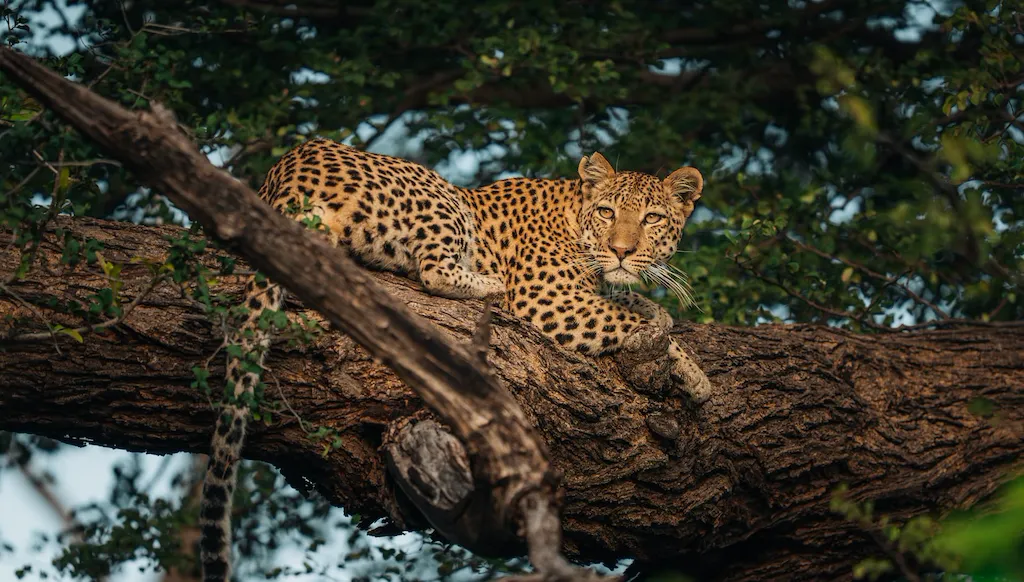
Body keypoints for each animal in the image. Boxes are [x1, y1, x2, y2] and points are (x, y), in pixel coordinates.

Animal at [199, 137, 711, 582]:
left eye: (651, 219)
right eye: (607, 212)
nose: (622, 251)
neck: (574, 216)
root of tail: (286, 172)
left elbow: (637, 306)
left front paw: (657, 310)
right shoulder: (550, 301)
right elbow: (635, 323)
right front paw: (697, 377)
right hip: (440, 197)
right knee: (432, 271)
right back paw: (491, 286)